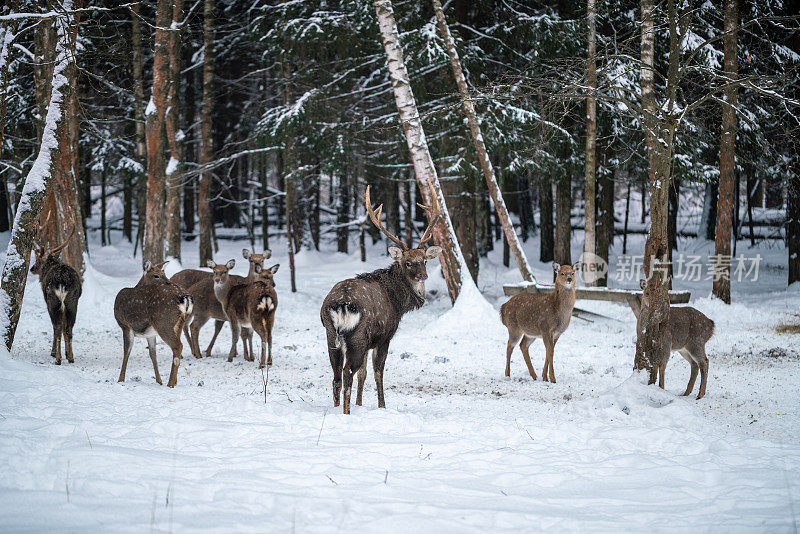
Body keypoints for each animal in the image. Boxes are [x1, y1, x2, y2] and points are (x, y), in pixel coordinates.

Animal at [30, 223, 83, 368]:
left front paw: (54, 352)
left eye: (38, 259)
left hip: (53, 301)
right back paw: (71, 357)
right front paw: (67, 352)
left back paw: (57, 358)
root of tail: (62, 281)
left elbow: (55, 327)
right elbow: (66, 328)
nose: (32, 268)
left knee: (57, 327)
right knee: (69, 328)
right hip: (72, 302)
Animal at [320, 186, 444, 416]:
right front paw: (382, 405)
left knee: (336, 376)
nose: (423, 276)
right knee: (347, 372)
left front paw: (361, 403)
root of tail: (341, 304)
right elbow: (378, 371)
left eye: (424, 261)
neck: (398, 302)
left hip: (331, 335)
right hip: (357, 336)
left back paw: (337, 408)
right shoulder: (384, 336)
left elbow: (364, 373)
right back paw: (346, 412)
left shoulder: (368, 342)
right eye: (408, 262)